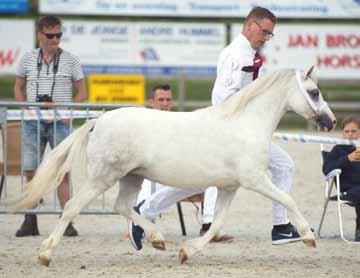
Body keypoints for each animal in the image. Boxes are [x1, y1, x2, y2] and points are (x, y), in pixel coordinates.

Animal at [13, 67, 334, 264]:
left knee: (123, 206)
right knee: (71, 207)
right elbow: (287, 199)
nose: (330, 122)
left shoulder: (229, 187)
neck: (244, 123)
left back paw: (156, 239)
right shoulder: (254, 180)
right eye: (314, 92)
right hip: (102, 178)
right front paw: (308, 237)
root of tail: (98, 120)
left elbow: (216, 224)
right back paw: (45, 254)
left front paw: (187, 252)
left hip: (130, 177)